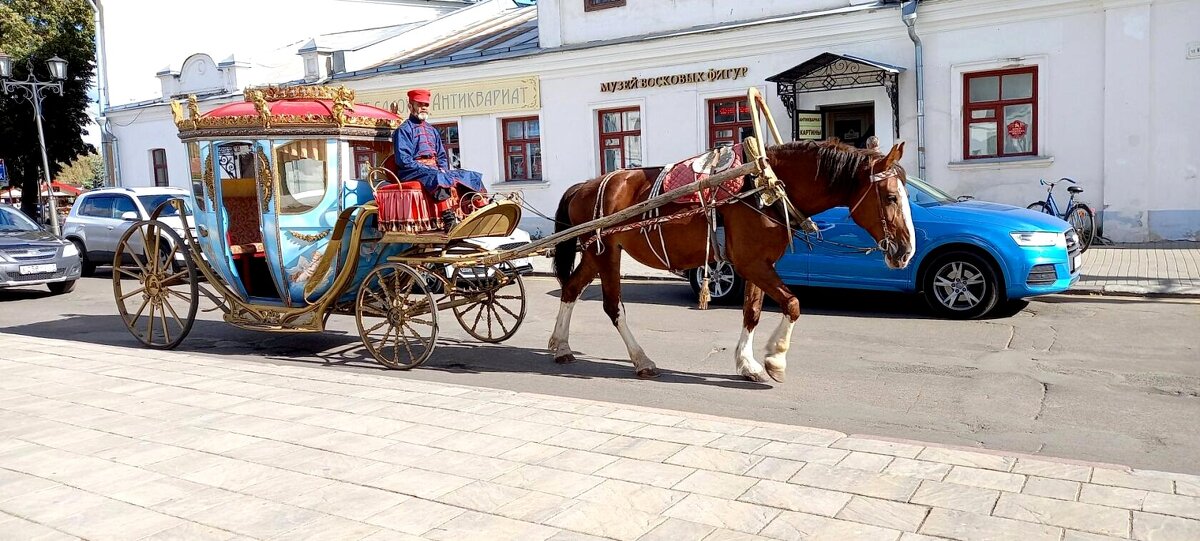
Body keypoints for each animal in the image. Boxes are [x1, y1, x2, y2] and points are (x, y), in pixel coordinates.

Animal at [549, 140, 912, 386]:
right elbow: (793, 304)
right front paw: (775, 359)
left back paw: (561, 346)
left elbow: (752, 312)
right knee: (613, 306)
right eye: (891, 197)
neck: (765, 187)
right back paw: (641, 359)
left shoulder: (759, 264)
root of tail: (584, 185)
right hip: (605, 253)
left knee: (571, 289)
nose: (906, 251)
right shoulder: (753, 264)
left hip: (594, 253)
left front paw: (748, 364)